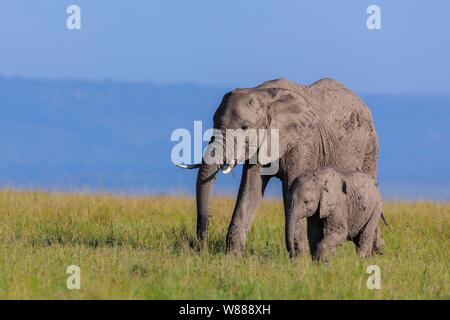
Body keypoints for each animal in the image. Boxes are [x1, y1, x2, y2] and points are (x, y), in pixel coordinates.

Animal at [178, 79, 378, 256]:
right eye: (213, 122)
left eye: (245, 127)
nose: (201, 247)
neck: (263, 94)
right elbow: (250, 189)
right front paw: (232, 258)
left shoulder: (302, 142)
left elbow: (292, 187)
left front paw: (299, 260)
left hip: (369, 147)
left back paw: (372, 254)